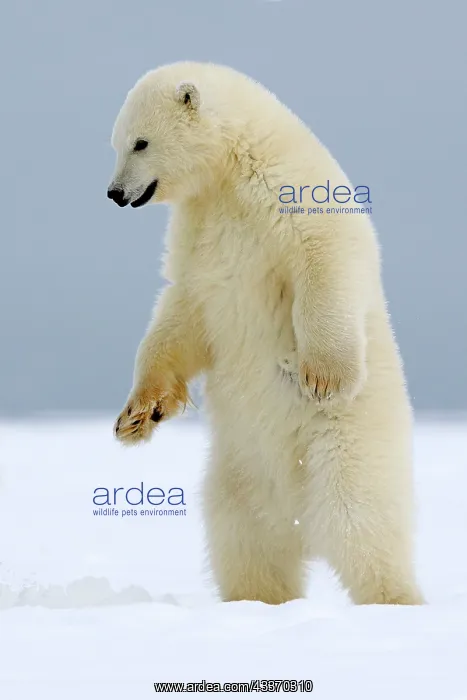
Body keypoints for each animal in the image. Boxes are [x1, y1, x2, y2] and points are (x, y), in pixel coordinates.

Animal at [108, 61, 424, 606]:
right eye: (116, 143)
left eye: (140, 142)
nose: (114, 193)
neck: (230, 171)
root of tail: (298, 513)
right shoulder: (199, 236)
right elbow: (182, 314)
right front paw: (138, 414)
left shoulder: (294, 193)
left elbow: (328, 257)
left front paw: (321, 377)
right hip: (240, 472)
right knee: (245, 541)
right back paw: (256, 602)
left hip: (345, 445)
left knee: (360, 524)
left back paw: (395, 600)